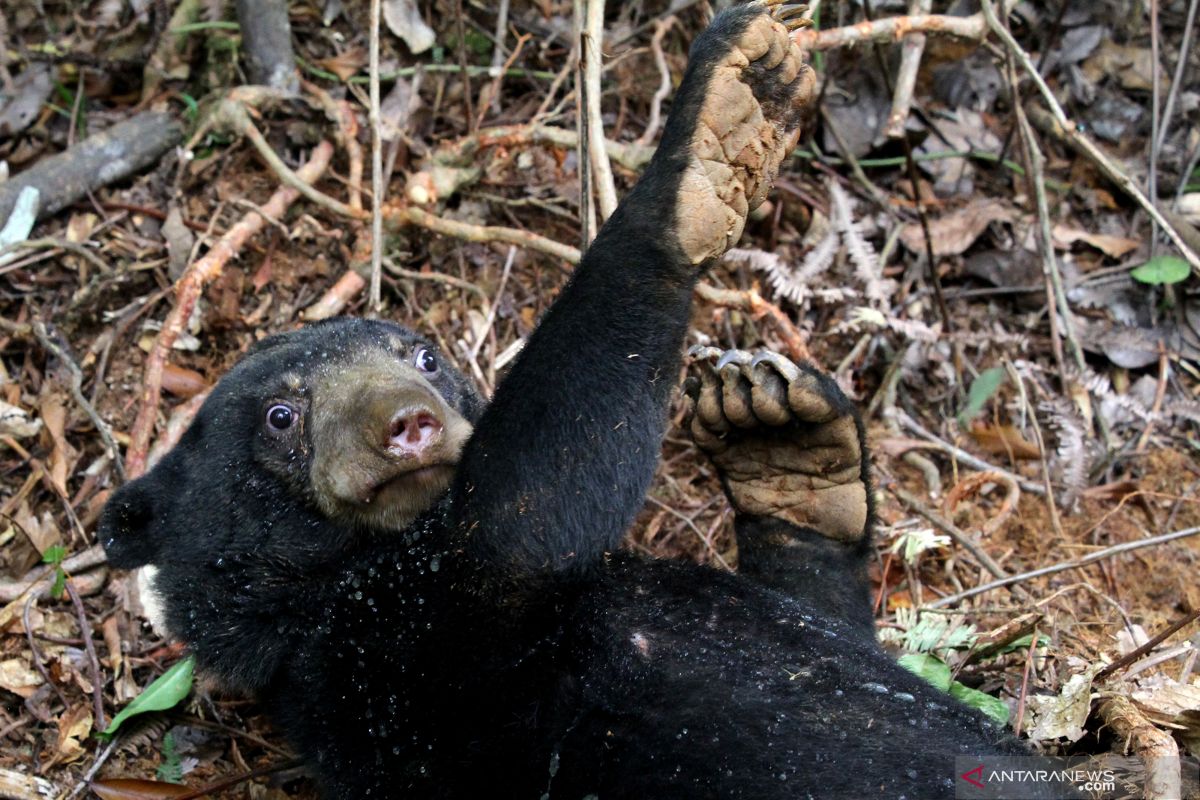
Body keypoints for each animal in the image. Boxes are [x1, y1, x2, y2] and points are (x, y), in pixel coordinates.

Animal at [98, 3, 1046, 796]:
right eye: (281, 417)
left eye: (424, 357)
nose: (410, 424)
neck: (353, 571)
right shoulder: (395, 654)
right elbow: (535, 501)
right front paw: (710, 134)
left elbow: (832, 626)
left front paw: (784, 445)